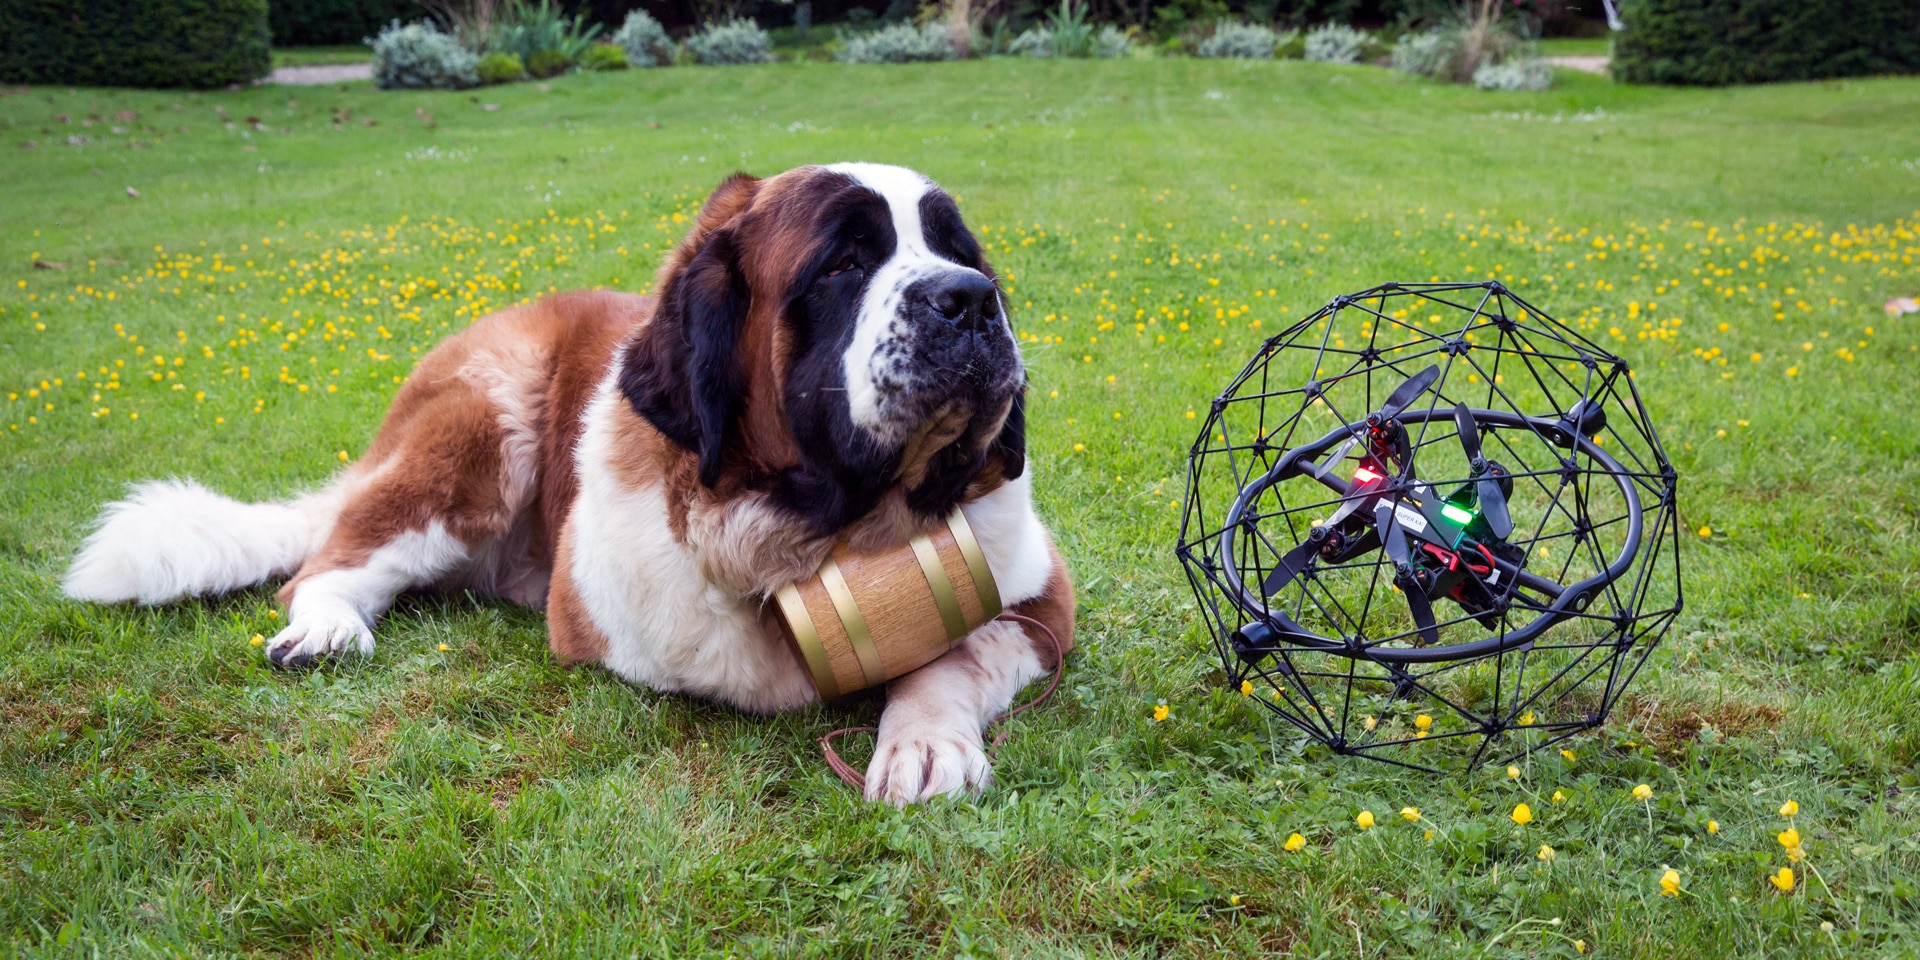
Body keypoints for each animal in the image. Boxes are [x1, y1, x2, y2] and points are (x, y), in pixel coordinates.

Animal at [60, 163, 1075, 802]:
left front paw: (924, 737)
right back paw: (325, 626)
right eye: (845, 262)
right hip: (479, 429)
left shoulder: (1040, 600)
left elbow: (958, 649)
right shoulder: (612, 619)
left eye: (963, 254)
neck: (821, 526)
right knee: (328, 560)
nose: (971, 300)